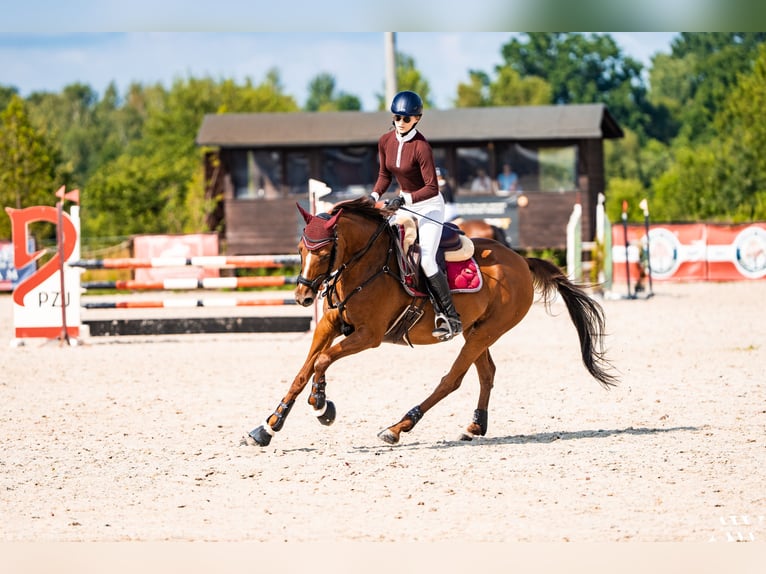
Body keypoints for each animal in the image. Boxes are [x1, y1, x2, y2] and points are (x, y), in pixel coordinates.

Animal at [243, 197, 617, 447]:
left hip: (485, 332)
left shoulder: (368, 335)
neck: (364, 265)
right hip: (475, 331)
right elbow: (303, 370)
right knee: (486, 373)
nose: (302, 297)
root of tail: (521, 262)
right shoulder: (328, 325)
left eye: (323, 252)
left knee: (452, 380)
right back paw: (474, 427)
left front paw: (321, 405)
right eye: (300, 249)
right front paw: (269, 426)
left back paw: (398, 427)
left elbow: (322, 360)